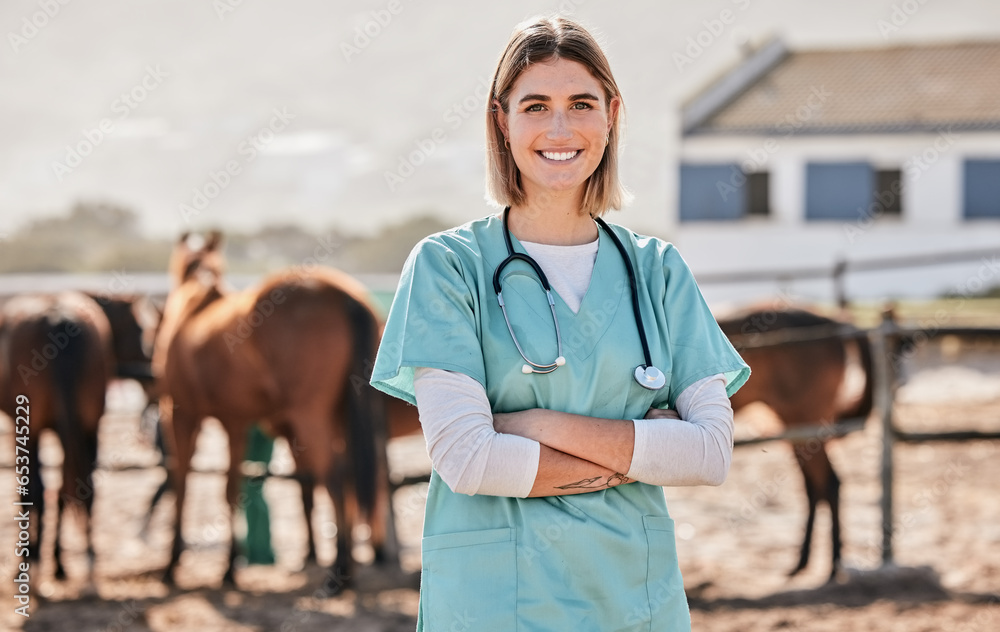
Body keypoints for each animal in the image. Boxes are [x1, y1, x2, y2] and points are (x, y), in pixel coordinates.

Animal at [0, 292, 114, 576]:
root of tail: (59, 316)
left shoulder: (25, 432)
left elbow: (30, 492)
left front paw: (31, 556)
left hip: (33, 428)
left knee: (38, 491)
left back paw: (35, 561)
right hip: (90, 426)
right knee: (81, 487)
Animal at [154, 233, 392, 592]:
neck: (195, 307)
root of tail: (343, 296)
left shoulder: (180, 415)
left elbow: (181, 484)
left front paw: (173, 564)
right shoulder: (235, 422)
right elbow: (232, 488)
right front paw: (229, 567)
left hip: (310, 417)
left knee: (335, 478)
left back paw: (337, 575)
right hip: (338, 417)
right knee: (347, 477)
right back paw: (345, 569)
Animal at [720, 306, 876, 584]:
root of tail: (836, 323)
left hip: (807, 427)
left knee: (829, 483)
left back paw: (833, 564)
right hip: (798, 432)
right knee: (814, 488)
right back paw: (803, 562)